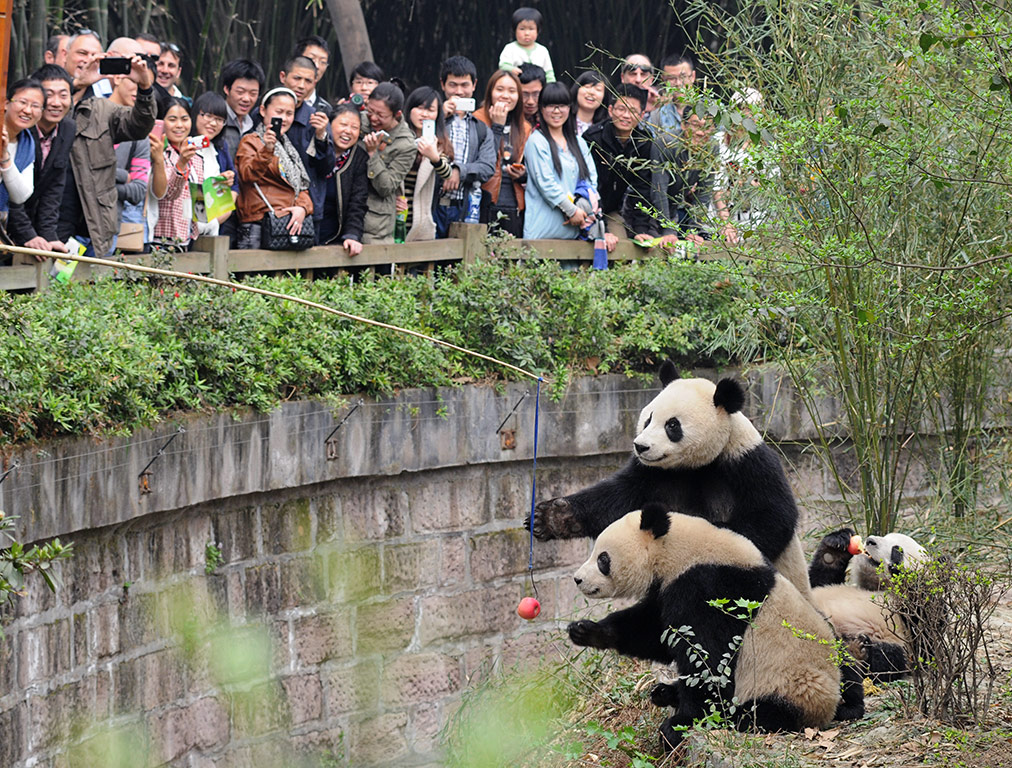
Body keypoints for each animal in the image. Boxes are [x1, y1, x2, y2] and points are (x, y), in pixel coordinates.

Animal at [526, 360, 809, 599]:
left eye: (672, 425)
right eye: (648, 419)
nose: (640, 446)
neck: (696, 465)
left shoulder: (748, 465)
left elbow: (771, 518)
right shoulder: (653, 474)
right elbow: (615, 499)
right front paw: (549, 518)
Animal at [570, 503, 862, 752]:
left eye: (602, 559)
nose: (577, 579)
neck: (678, 549)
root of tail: (828, 708)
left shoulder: (708, 587)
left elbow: (706, 657)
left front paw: (679, 725)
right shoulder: (670, 587)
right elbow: (653, 631)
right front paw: (585, 631)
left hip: (792, 686)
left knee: (761, 711)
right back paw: (665, 692)